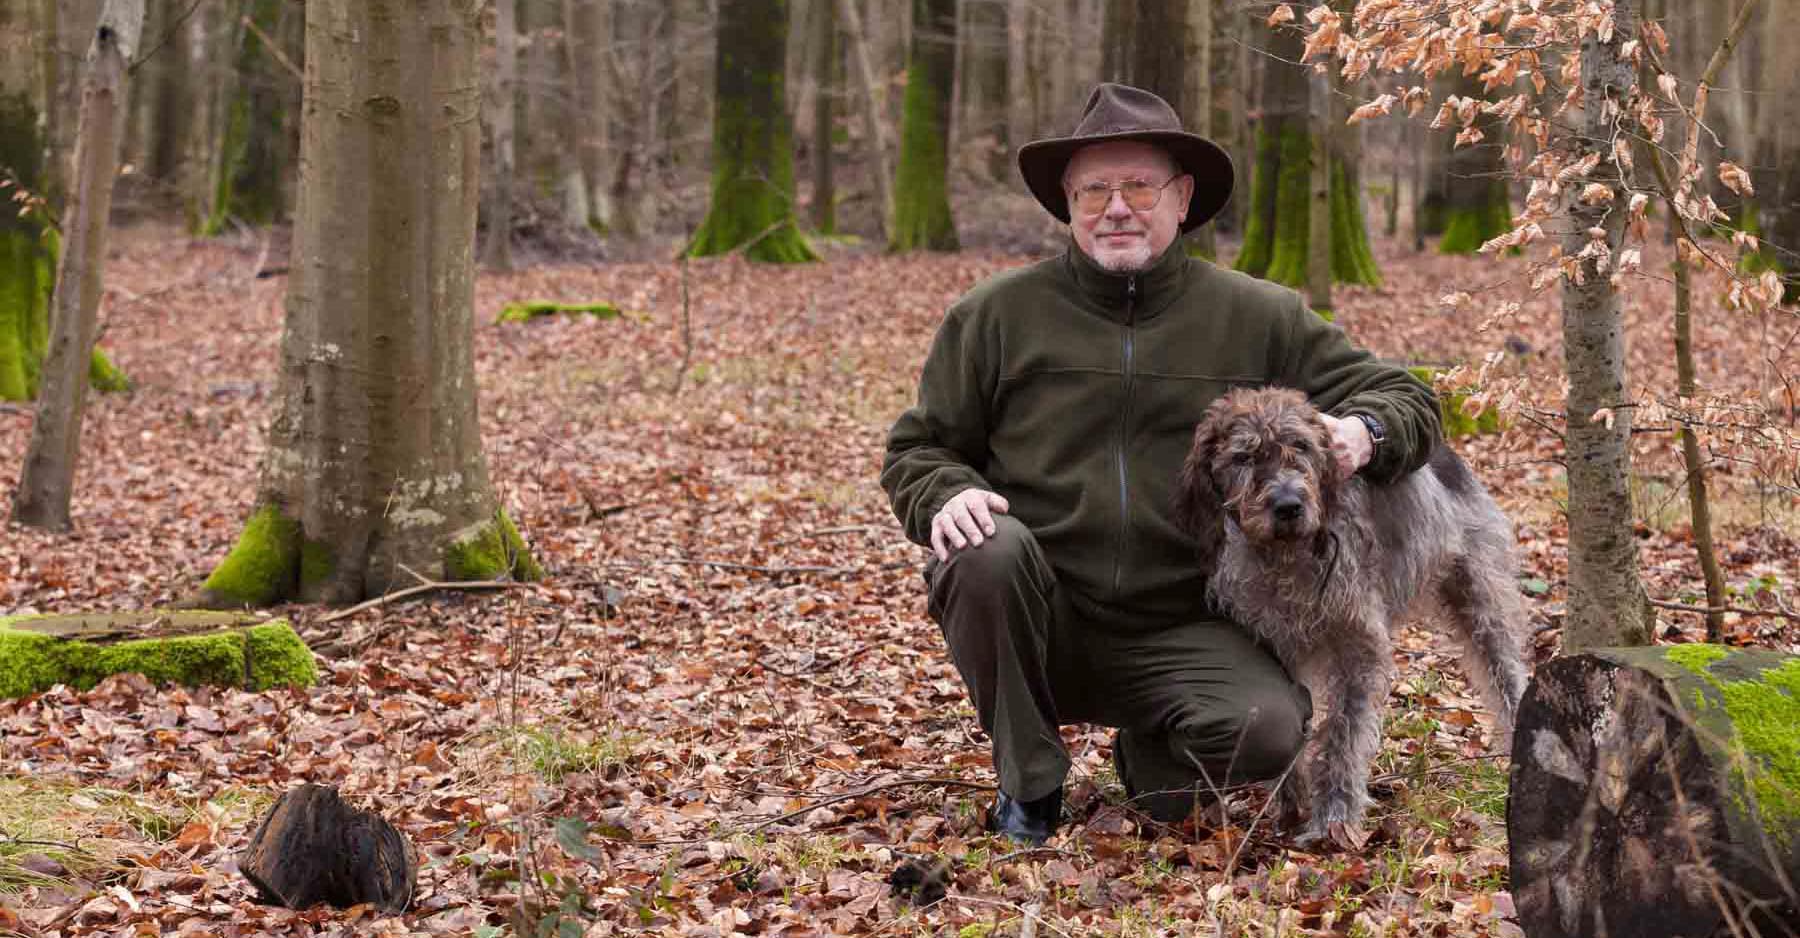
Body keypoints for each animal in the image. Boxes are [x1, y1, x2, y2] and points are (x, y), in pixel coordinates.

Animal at [1173, 385, 1526, 842]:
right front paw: (1289, 801)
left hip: (1481, 601)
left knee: (1507, 674)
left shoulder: (1357, 644)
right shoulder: (1279, 646)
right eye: (1243, 457)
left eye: (1302, 446)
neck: (1287, 558)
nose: (1288, 506)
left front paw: (1333, 817)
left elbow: (1343, 732)